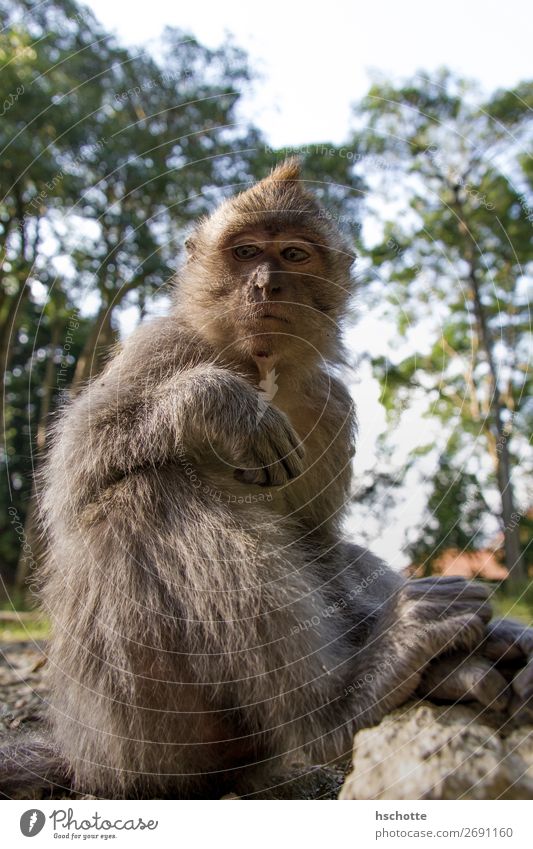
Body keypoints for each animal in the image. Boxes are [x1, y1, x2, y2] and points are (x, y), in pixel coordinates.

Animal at [1, 161, 532, 800]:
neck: (257, 365)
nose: (264, 286)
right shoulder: (159, 347)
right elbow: (71, 478)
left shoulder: (330, 407)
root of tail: (84, 759)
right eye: (247, 251)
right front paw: (224, 406)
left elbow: (317, 541)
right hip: (131, 721)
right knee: (143, 494)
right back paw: (341, 707)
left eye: (294, 255)